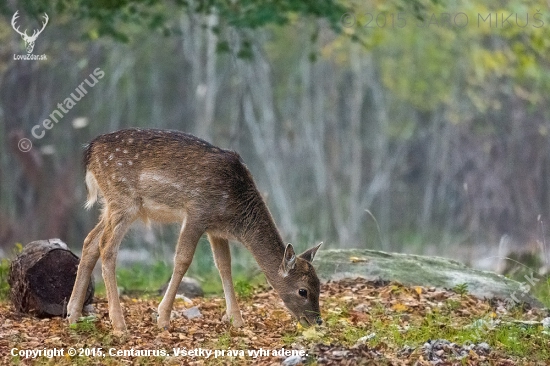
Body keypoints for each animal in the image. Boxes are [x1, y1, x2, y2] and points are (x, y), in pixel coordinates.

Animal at [66, 129, 324, 334]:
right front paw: (163, 318)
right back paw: (119, 325)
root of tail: (89, 151)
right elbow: (183, 259)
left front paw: (237, 320)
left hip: (112, 205)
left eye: (320, 284)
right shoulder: (197, 213)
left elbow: (224, 265)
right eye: (303, 291)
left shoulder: (216, 230)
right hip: (123, 200)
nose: (317, 321)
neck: (236, 213)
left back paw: (73, 314)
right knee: (106, 246)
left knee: (90, 241)